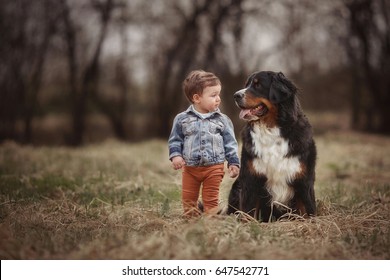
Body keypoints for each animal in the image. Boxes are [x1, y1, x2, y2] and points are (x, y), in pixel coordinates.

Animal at [227, 71, 316, 222]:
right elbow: (248, 213)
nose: (236, 95)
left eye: (257, 85)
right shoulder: (251, 181)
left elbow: (307, 211)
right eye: (247, 84)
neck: (271, 130)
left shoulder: (303, 182)